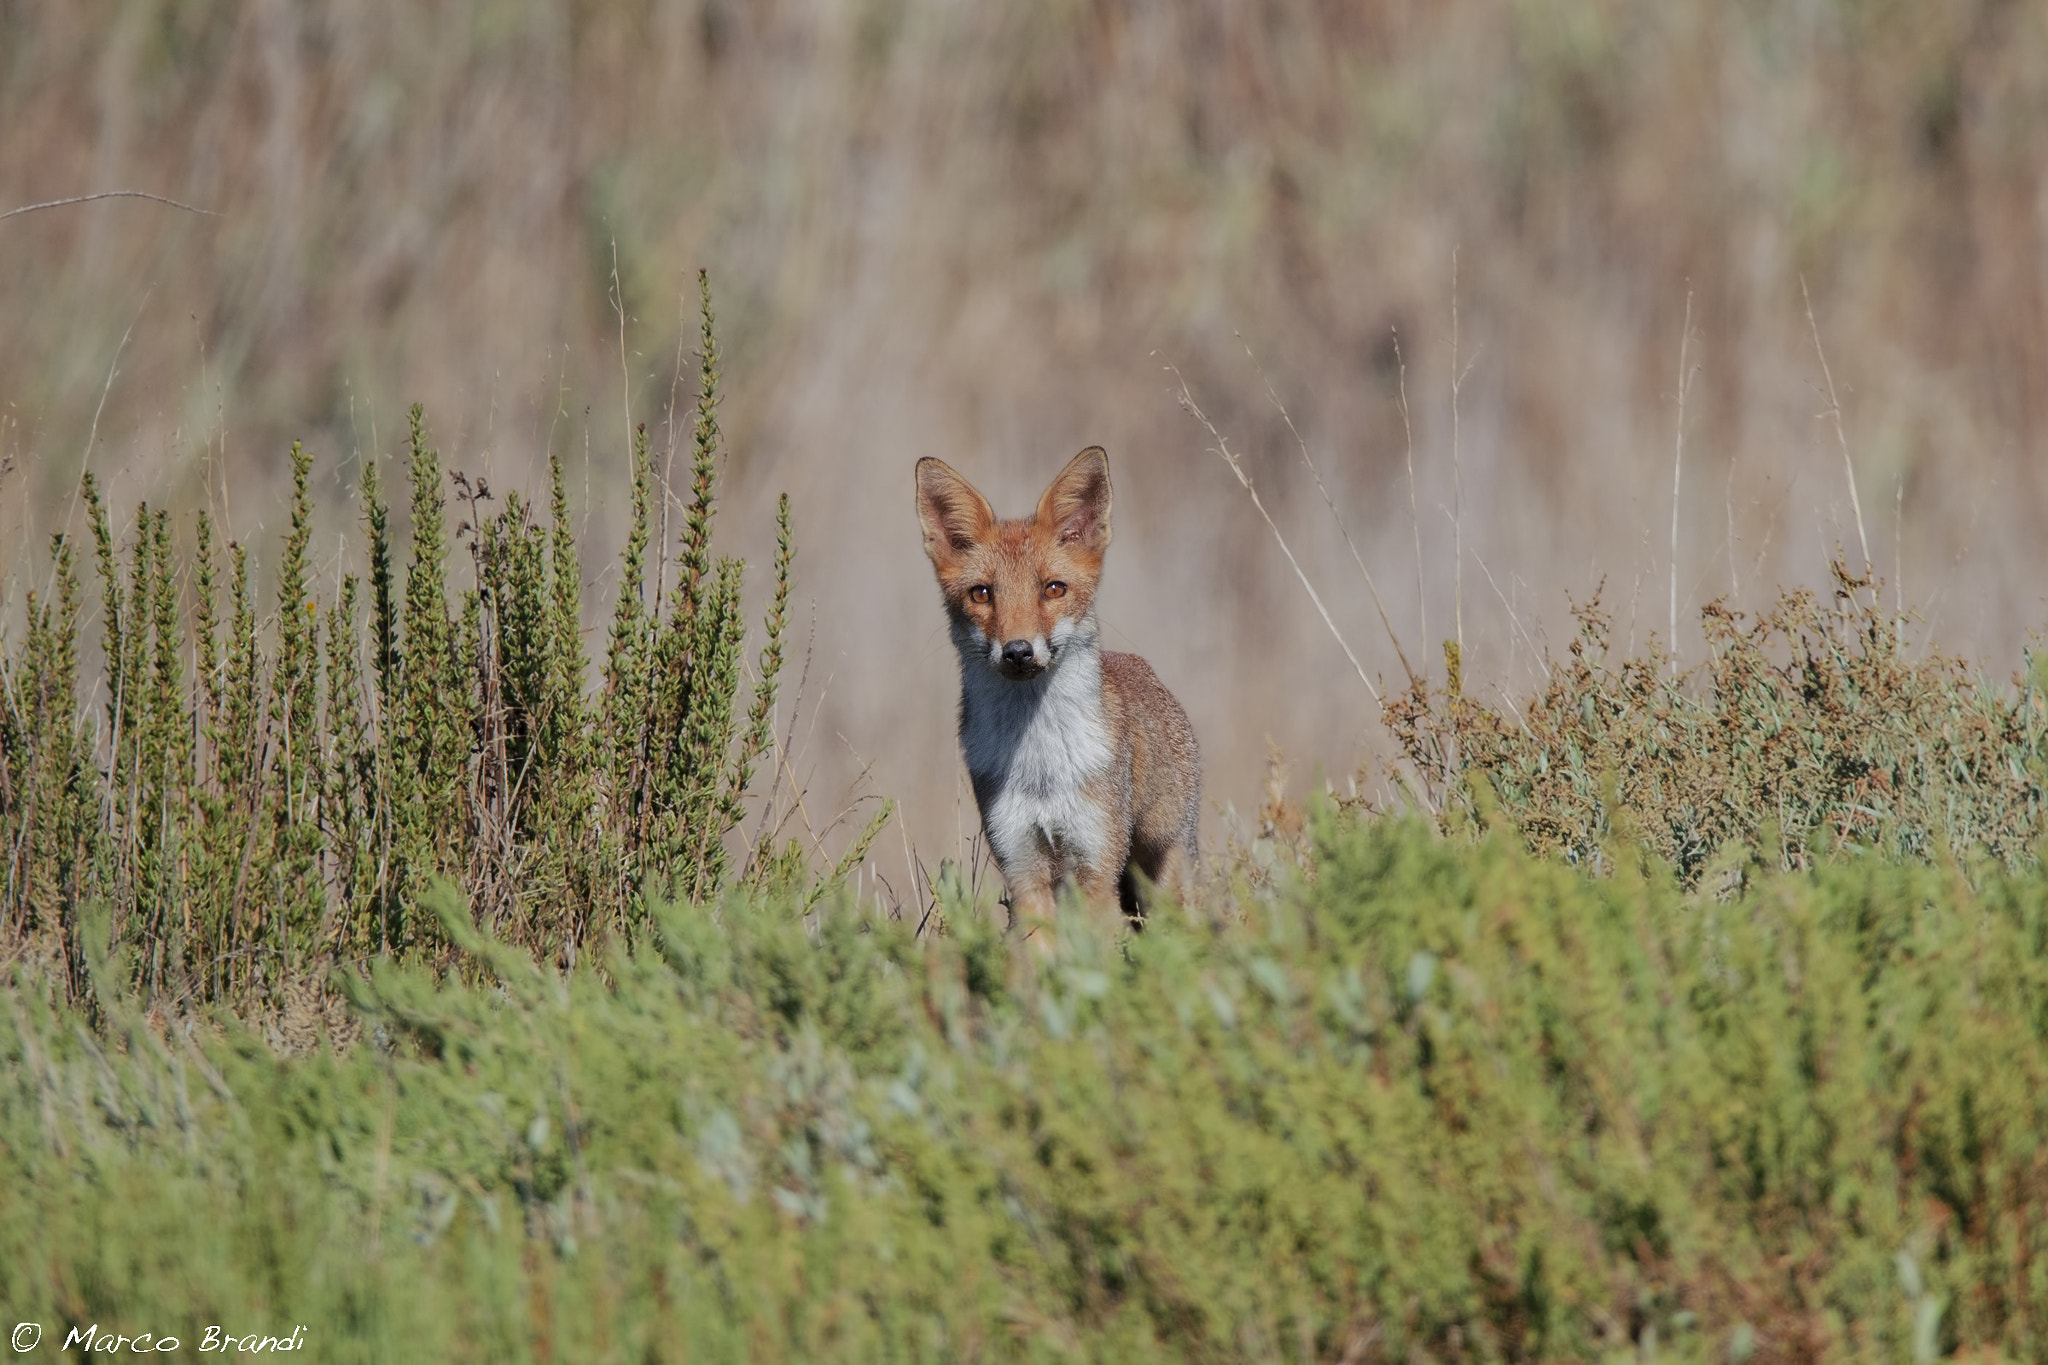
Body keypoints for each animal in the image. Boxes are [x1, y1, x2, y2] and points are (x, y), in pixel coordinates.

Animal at [915, 446, 1201, 934]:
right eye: (981, 594)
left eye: (1053, 589)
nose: (1017, 651)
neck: (1042, 764)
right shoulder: (1022, 866)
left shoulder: (1095, 866)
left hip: (1164, 873)